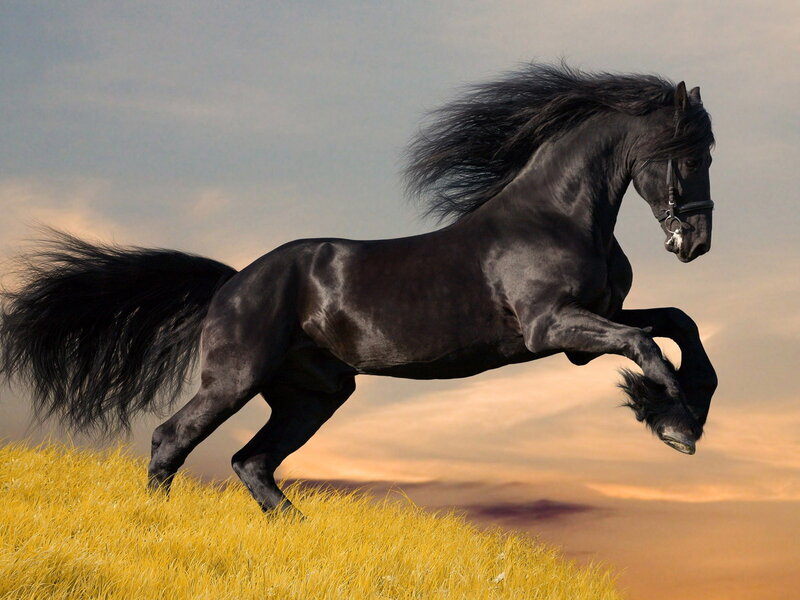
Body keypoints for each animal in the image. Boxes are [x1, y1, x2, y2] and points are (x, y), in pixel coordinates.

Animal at [0, 63, 717, 514]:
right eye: (689, 153)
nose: (697, 242)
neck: (556, 215)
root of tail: (233, 283)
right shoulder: (552, 328)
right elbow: (646, 346)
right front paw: (673, 422)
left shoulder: (588, 327)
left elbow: (677, 323)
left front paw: (685, 409)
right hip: (235, 378)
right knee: (172, 439)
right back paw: (161, 522)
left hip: (314, 393)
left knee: (252, 462)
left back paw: (300, 534)